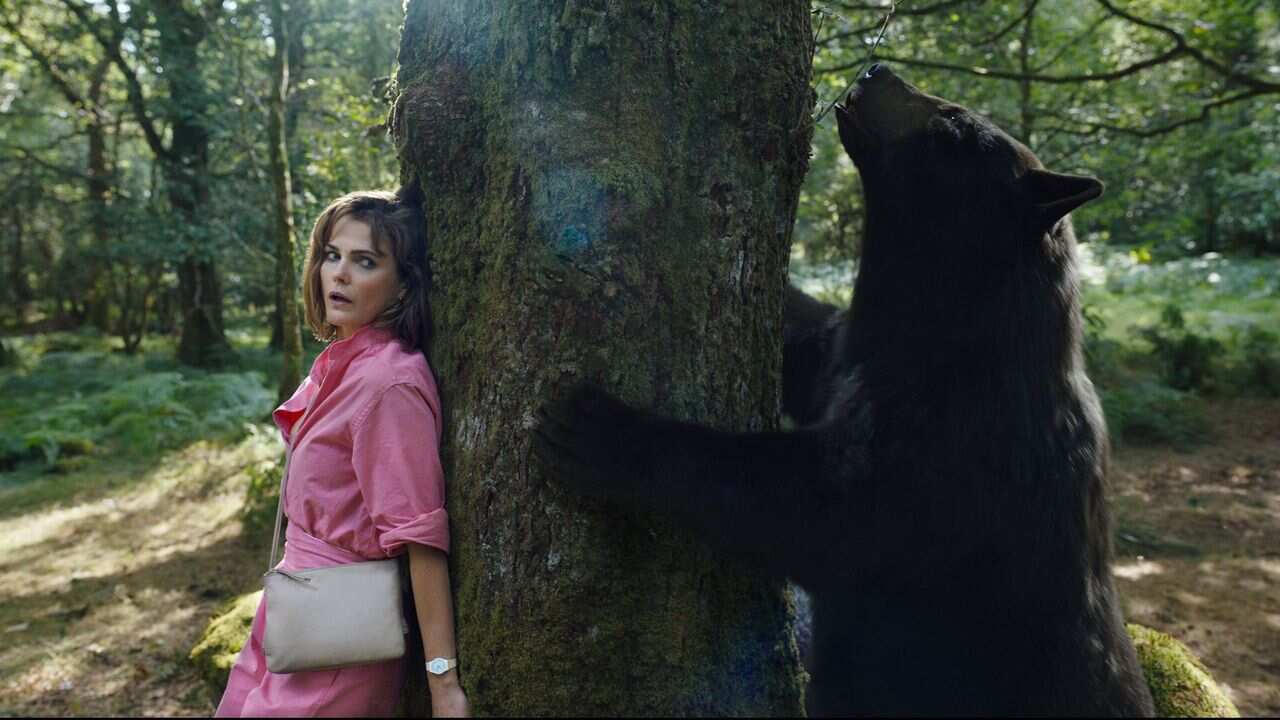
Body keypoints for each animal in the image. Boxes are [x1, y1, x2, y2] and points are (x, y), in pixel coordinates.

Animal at [533, 64, 1155, 717]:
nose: (878, 69)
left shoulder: (955, 454)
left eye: (952, 125)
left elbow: (810, 509)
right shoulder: (846, 355)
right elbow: (805, 340)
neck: (946, 332)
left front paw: (603, 432)